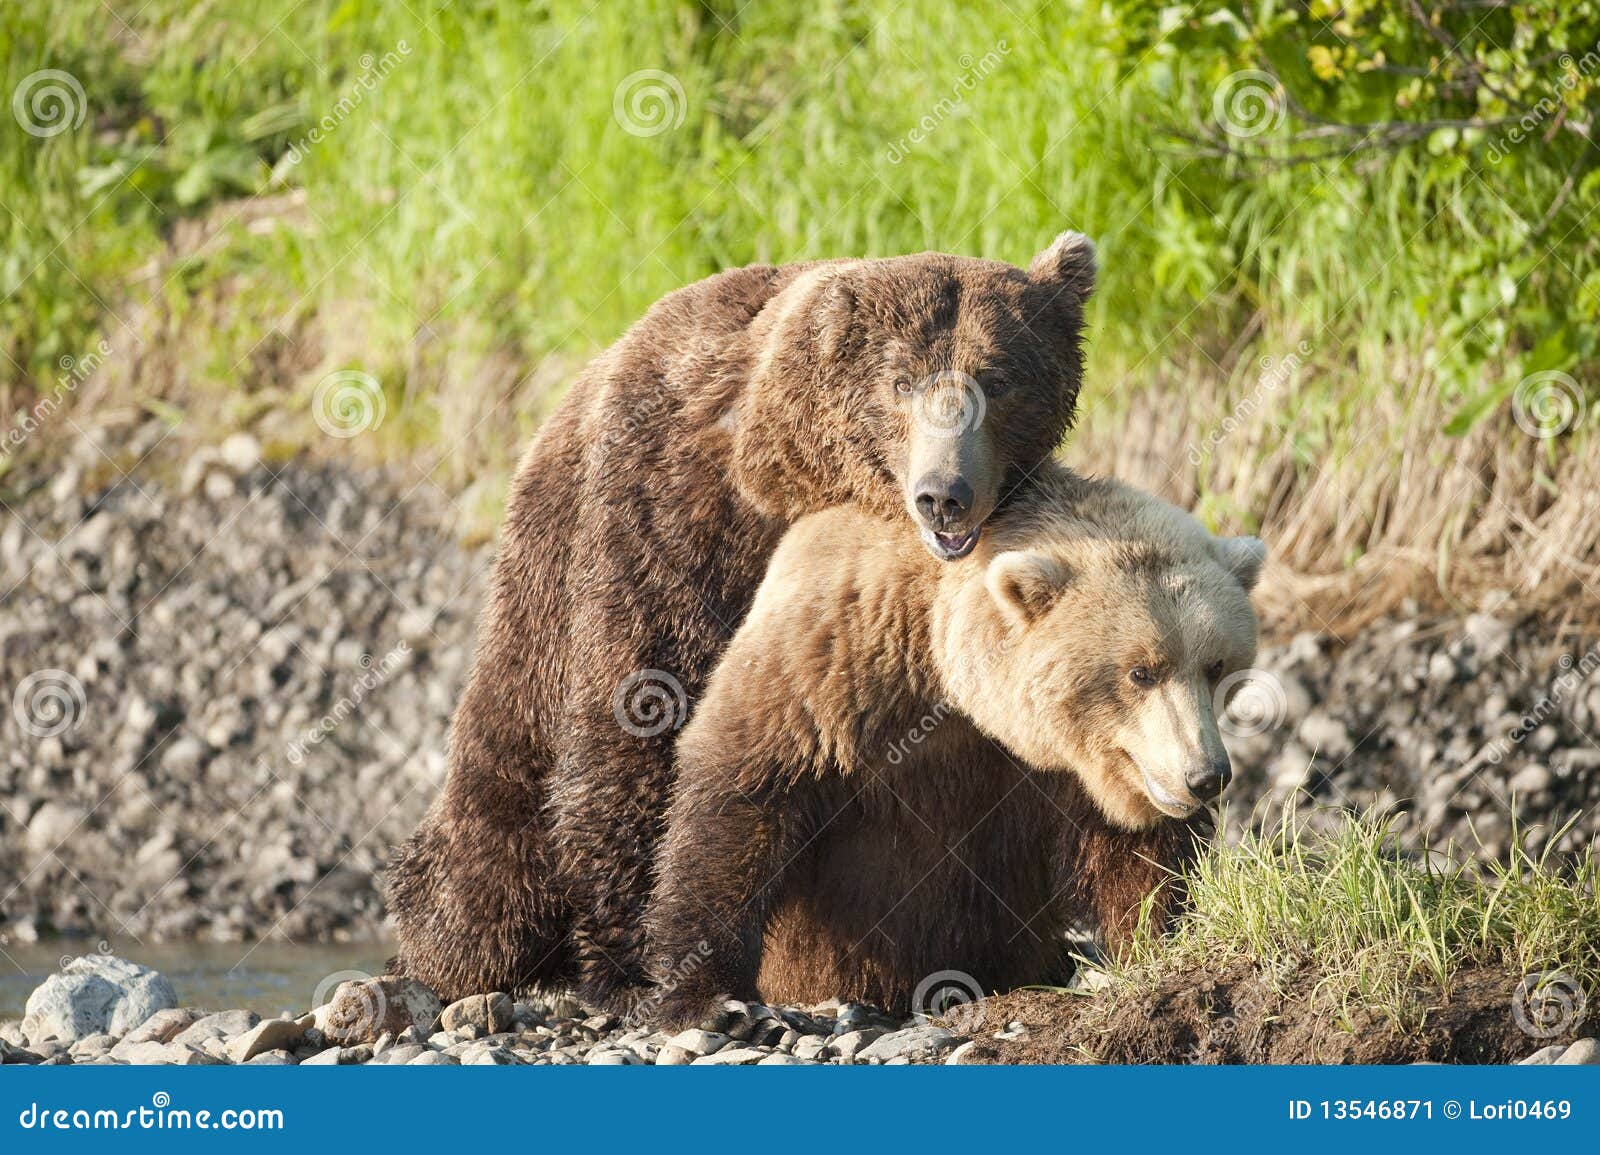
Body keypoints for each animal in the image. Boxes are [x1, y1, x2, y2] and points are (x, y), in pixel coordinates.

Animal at [387, 233, 1101, 1008]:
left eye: (996, 380)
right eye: (901, 382)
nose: (945, 494)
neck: (781, 476)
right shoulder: (668, 519)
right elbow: (643, 716)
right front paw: (635, 966)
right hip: (524, 646)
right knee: (488, 846)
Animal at [643, 465, 1265, 1027]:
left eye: (1216, 664)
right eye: (1141, 671)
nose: (1206, 774)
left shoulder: (1067, 776)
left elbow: (1138, 856)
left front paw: (1161, 938)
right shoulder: (836, 657)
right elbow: (745, 793)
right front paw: (714, 999)